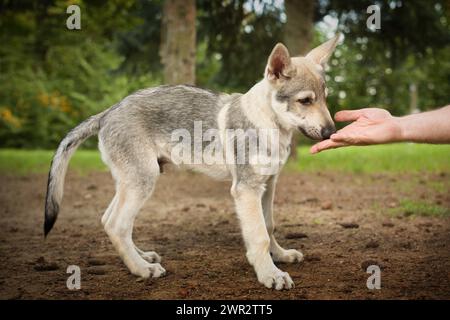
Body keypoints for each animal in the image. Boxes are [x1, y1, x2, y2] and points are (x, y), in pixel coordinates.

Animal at [46, 35, 342, 290]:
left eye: (325, 97)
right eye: (305, 101)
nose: (331, 132)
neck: (268, 123)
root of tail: (108, 112)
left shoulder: (268, 184)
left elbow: (269, 227)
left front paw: (280, 256)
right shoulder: (246, 190)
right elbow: (258, 236)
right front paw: (270, 274)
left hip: (131, 183)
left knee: (109, 219)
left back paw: (143, 256)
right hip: (143, 181)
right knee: (117, 225)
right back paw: (142, 269)